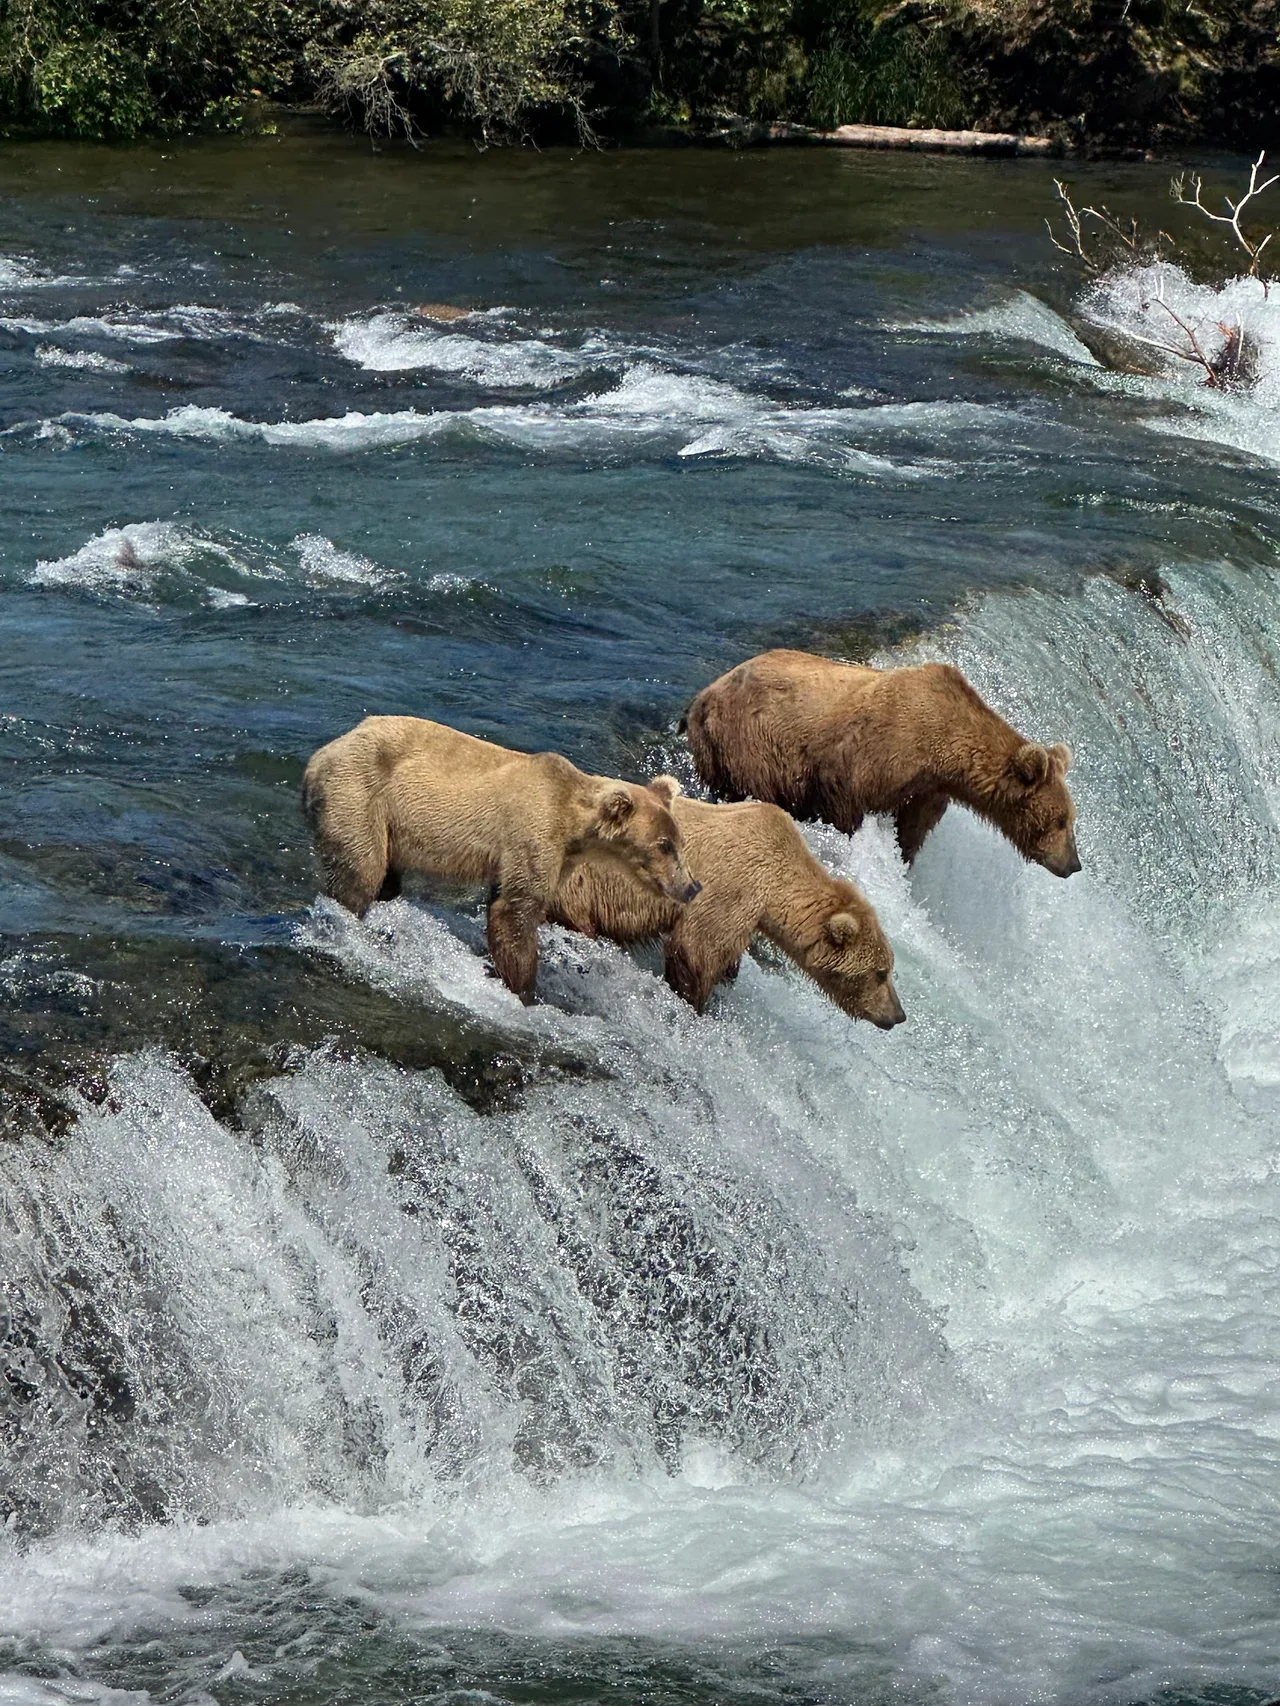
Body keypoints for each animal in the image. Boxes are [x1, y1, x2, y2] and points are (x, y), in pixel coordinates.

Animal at [302, 715, 700, 1003]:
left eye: (678, 841)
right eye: (664, 845)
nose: (692, 886)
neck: (575, 828)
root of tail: (318, 758)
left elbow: (502, 900)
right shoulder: (532, 835)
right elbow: (516, 911)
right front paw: (524, 988)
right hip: (361, 795)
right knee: (360, 871)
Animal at [550, 794, 905, 1026]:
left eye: (889, 968)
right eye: (880, 972)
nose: (897, 1015)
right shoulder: (729, 889)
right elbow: (696, 951)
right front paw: (695, 1001)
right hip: (578, 886)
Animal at [684, 649, 1080, 875]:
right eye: (1060, 820)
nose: (1073, 865)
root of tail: (702, 696)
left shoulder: (926, 790)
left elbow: (912, 831)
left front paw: (903, 859)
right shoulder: (870, 755)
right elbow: (842, 802)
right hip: (746, 745)